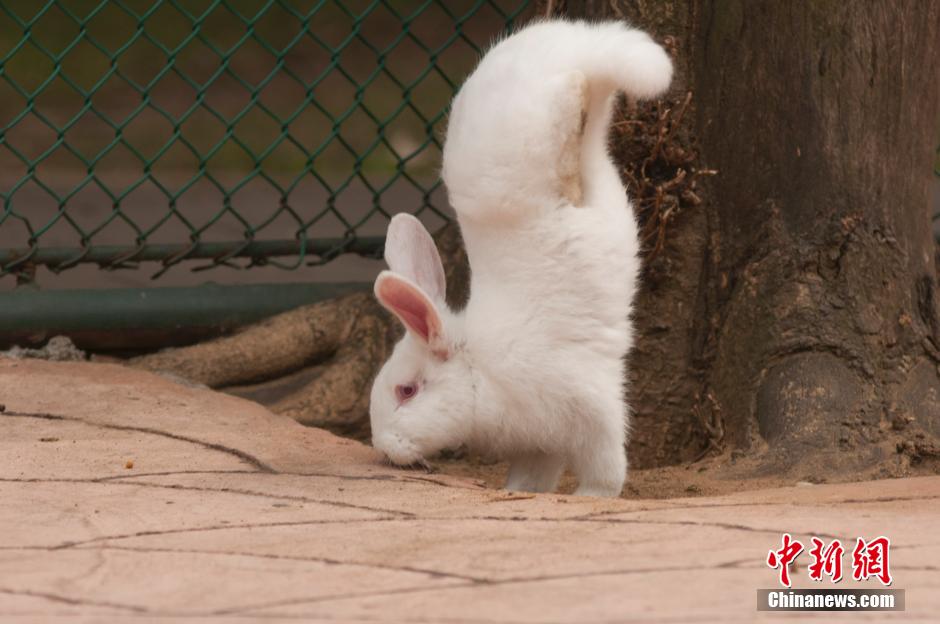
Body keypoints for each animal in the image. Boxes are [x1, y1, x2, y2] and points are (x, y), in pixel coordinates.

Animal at [366, 20, 668, 498]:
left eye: (407, 391)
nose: (383, 447)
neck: (480, 372)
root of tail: (576, 42)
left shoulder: (591, 409)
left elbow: (606, 470)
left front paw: (589, 497)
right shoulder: (538, 446)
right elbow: (530, 480)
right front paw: (521, 493)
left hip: (541, 126)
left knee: (573, 98)